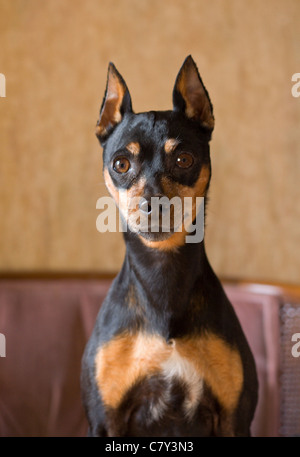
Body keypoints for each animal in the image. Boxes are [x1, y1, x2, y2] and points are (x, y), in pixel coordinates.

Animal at [81, 55, 258, 436]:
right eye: (120, 164)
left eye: (184, 159)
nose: (153, 203)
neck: (162, 273)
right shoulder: (105, 420)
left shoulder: (234, 418)